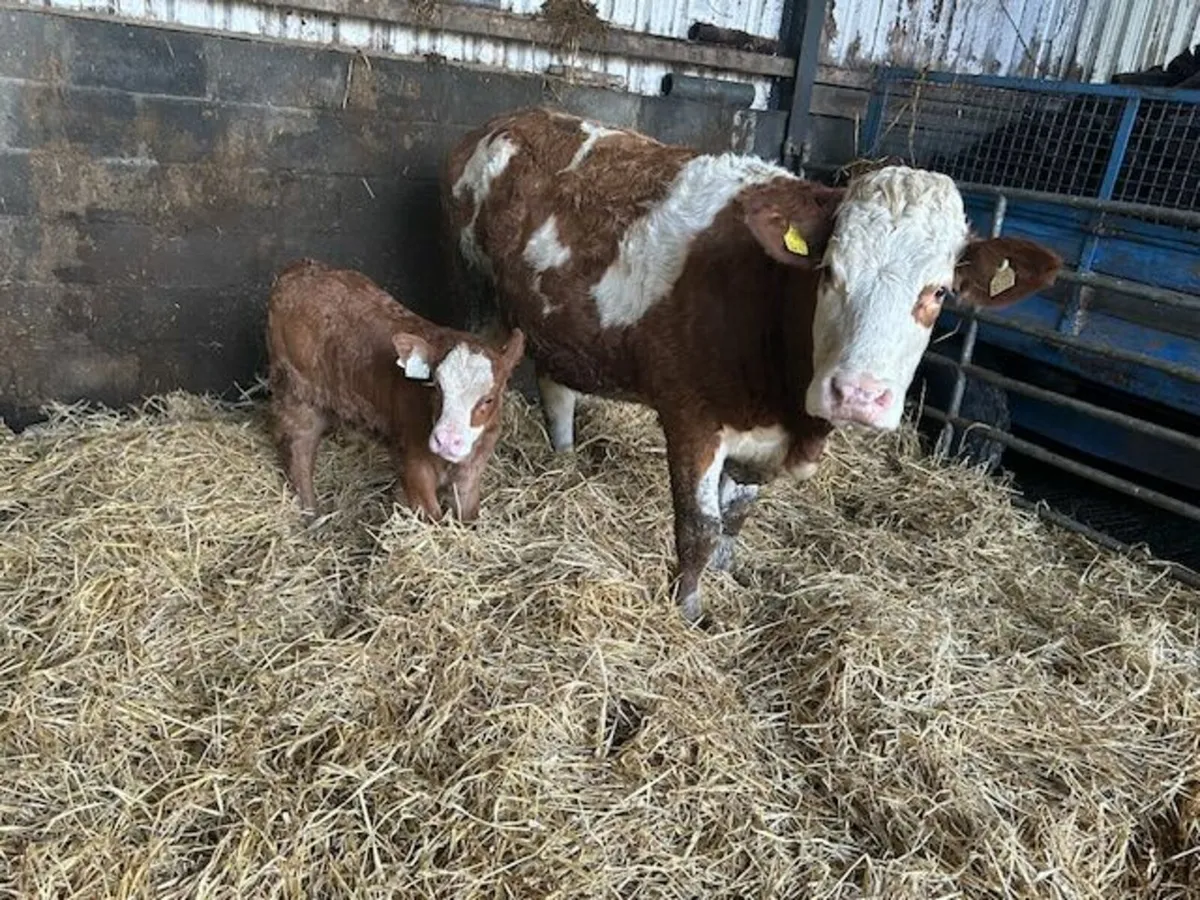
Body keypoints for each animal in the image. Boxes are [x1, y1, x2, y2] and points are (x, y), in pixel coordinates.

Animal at [266, 258, 525, 523]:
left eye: (489, 399)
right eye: (436, 386)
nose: (445, 441)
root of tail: (298, 270)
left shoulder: (471, 472)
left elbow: (468, 516)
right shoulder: (414, 464)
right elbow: (432, 517)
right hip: (298, 394)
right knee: (300, 449)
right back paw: (313, 516)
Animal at [442, 108, 1062, 622]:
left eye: (937, 292)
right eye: (830, 272)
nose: (857, 395)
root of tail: (513, 119)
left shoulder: (762, 442)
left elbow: (734, 518)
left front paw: (727, 576)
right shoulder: (691, 417)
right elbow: (698, 527)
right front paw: (688, 611)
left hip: (553, 321)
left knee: (558, 387)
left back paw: (565, 460)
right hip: (479, 290)